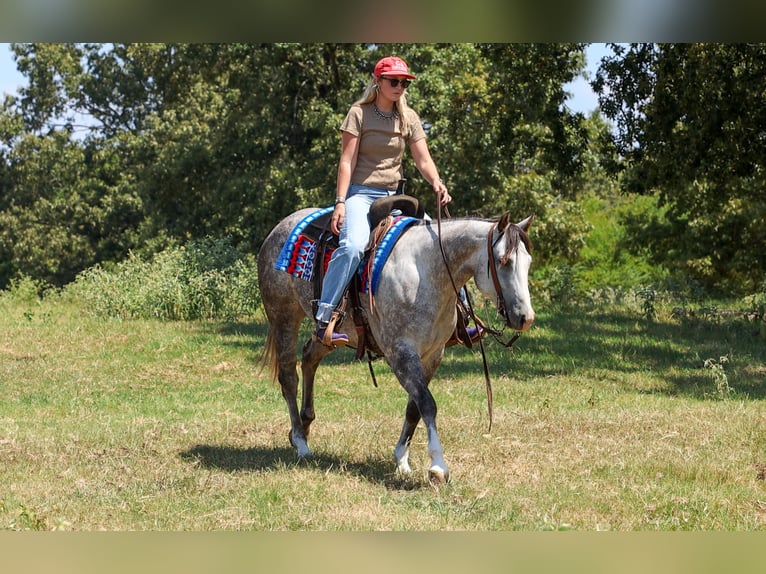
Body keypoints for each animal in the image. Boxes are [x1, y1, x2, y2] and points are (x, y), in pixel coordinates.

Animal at [257, 206, 535, 483]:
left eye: (528, 262)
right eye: (503, 261)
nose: (525, 318)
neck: (426, 273)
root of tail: (279, 227)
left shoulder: (433, 354)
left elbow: (414, 407)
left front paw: (402, 459)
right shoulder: (400, 352)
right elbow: (427, 403)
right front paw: (438, 466)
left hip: (329, 334)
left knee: (309, 357)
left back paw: (304, 426)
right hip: (284, 317)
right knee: (288, 377)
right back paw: (300, 441)